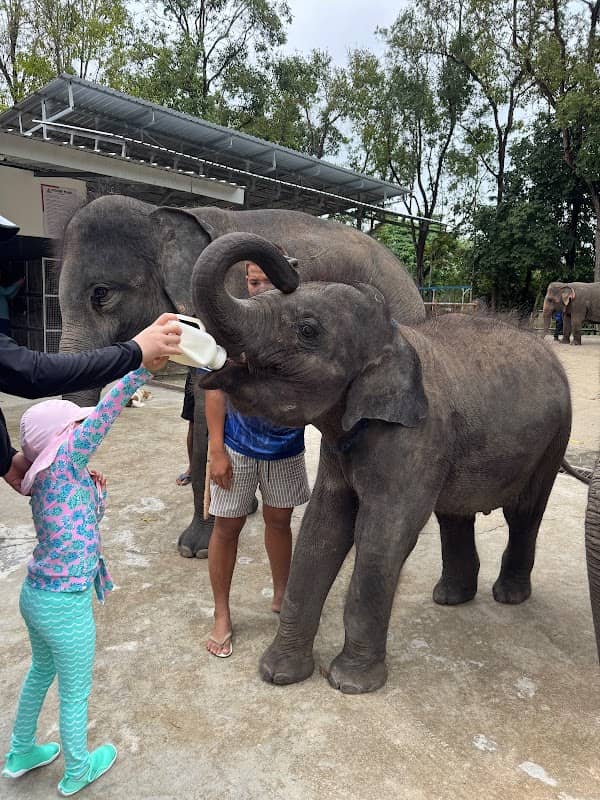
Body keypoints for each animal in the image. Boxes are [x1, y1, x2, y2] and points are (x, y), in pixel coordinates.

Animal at [57, 194, 425, 558]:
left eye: (101, 294)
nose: (292, 272)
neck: (161, 213)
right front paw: (237, 512)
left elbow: (208, 408)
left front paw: (196, 549)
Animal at [191, 232, 574, 694]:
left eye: (307, 330)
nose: (289, 269)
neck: (393, 336)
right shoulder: (342, 444)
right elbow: (322, 529)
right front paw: (278, 673)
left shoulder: (417, 436)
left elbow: (381, 535)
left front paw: (350, 684)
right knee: (454, 514)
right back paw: (450, 598)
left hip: (555, 437)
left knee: (524, 512)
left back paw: (507, 596)